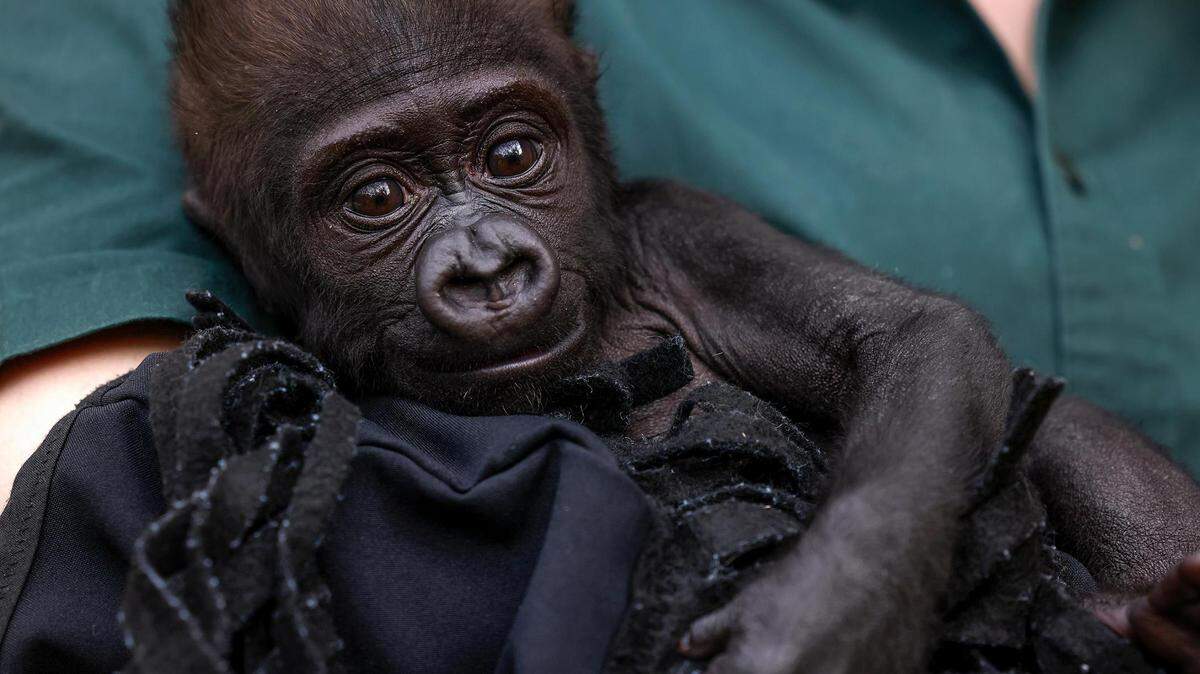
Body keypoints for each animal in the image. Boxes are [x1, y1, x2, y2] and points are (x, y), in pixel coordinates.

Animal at [167, 0, 1200, 671]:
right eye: (377, 198)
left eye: (511, 154)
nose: (489, 270)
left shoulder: (675, 227)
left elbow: (913, 333)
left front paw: (822, 618)